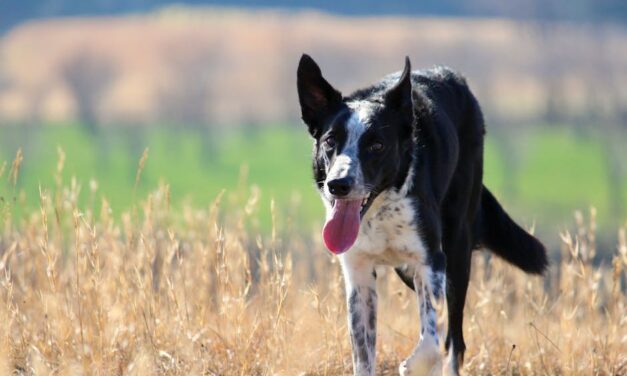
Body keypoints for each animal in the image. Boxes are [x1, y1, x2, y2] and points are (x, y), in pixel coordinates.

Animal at [296, 53, 548, 376]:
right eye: (330, 141)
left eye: (377, 145)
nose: (338, 184)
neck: (381, 211)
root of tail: (453, 76)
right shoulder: (358, 274)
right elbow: (363, 354)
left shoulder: (432, 261)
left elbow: (430, 344)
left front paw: (411, 365)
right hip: (411, 271)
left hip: (457, 251)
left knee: (454, 339)